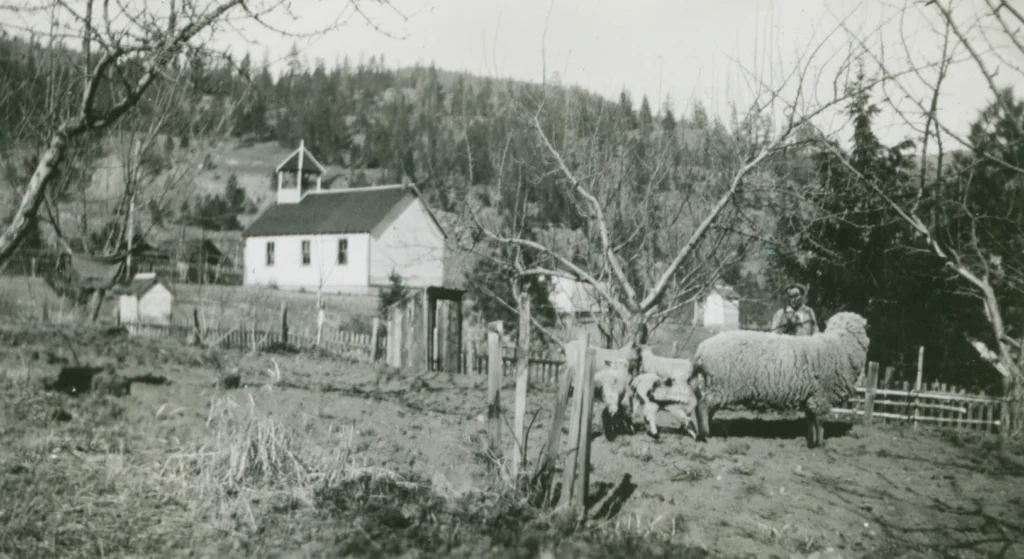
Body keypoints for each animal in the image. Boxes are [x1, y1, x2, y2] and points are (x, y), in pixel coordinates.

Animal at [688, 311, 872, 446]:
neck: (841, 344)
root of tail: (702, 349)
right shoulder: (822, 395)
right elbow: (819, 422)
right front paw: (820, 443)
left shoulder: (812, 396)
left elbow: (811, 421)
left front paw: (811, 440)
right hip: (722, 384)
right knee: (703, 405)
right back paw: (704, 434)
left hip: (716, 385)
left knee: (707, 407)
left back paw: (706, 430)